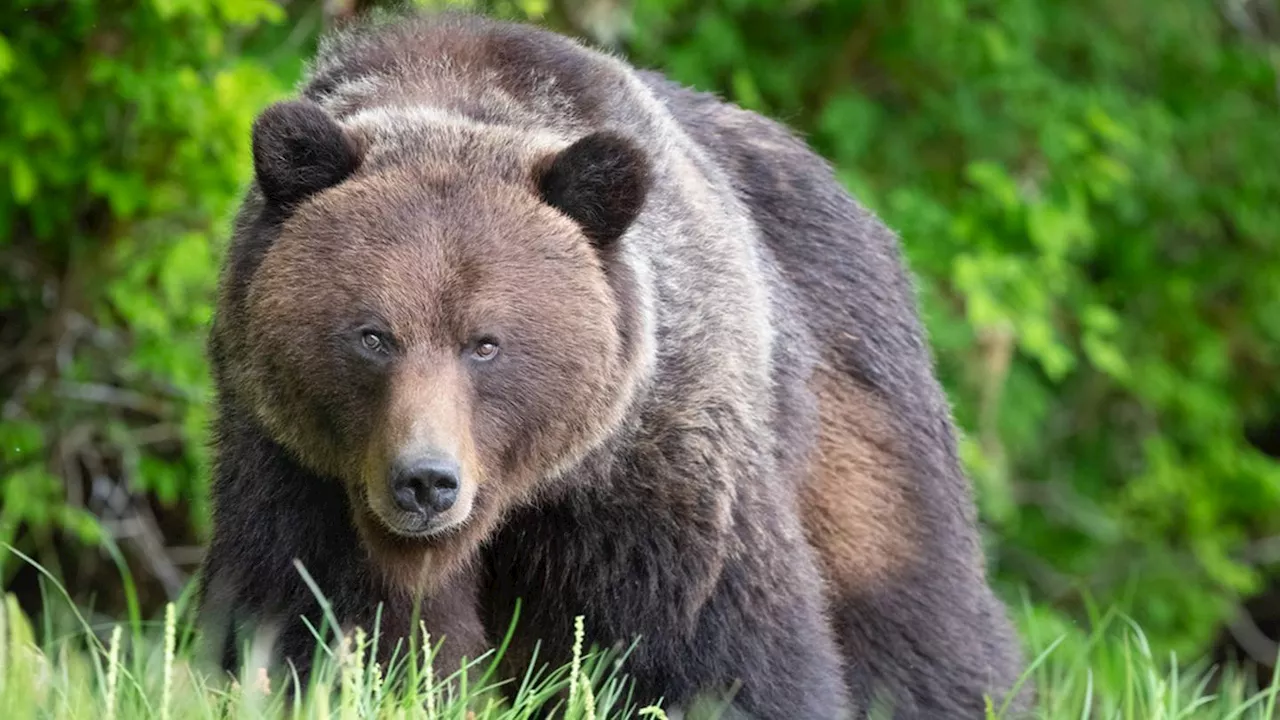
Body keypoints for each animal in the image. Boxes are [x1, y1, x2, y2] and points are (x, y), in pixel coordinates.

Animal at [197, 7, 1029, 717]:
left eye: (486, 342)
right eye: (373, 335)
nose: (426, 480)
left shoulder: (655, 456)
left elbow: (714, 641)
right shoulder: (299, 465)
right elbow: (307, 614)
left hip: (854, 401)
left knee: (911, 603)